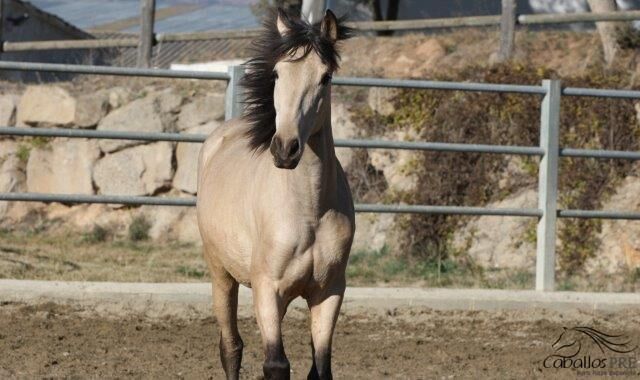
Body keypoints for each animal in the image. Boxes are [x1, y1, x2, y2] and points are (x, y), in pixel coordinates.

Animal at [195, 8, 356, 380]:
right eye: (278, 73)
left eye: (325, 77)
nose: (285, 148)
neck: (309, 210)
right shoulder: (267, 288)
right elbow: (276, 364)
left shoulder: (329, 292)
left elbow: (320, 368)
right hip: (221, 273)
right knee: (231, 347)